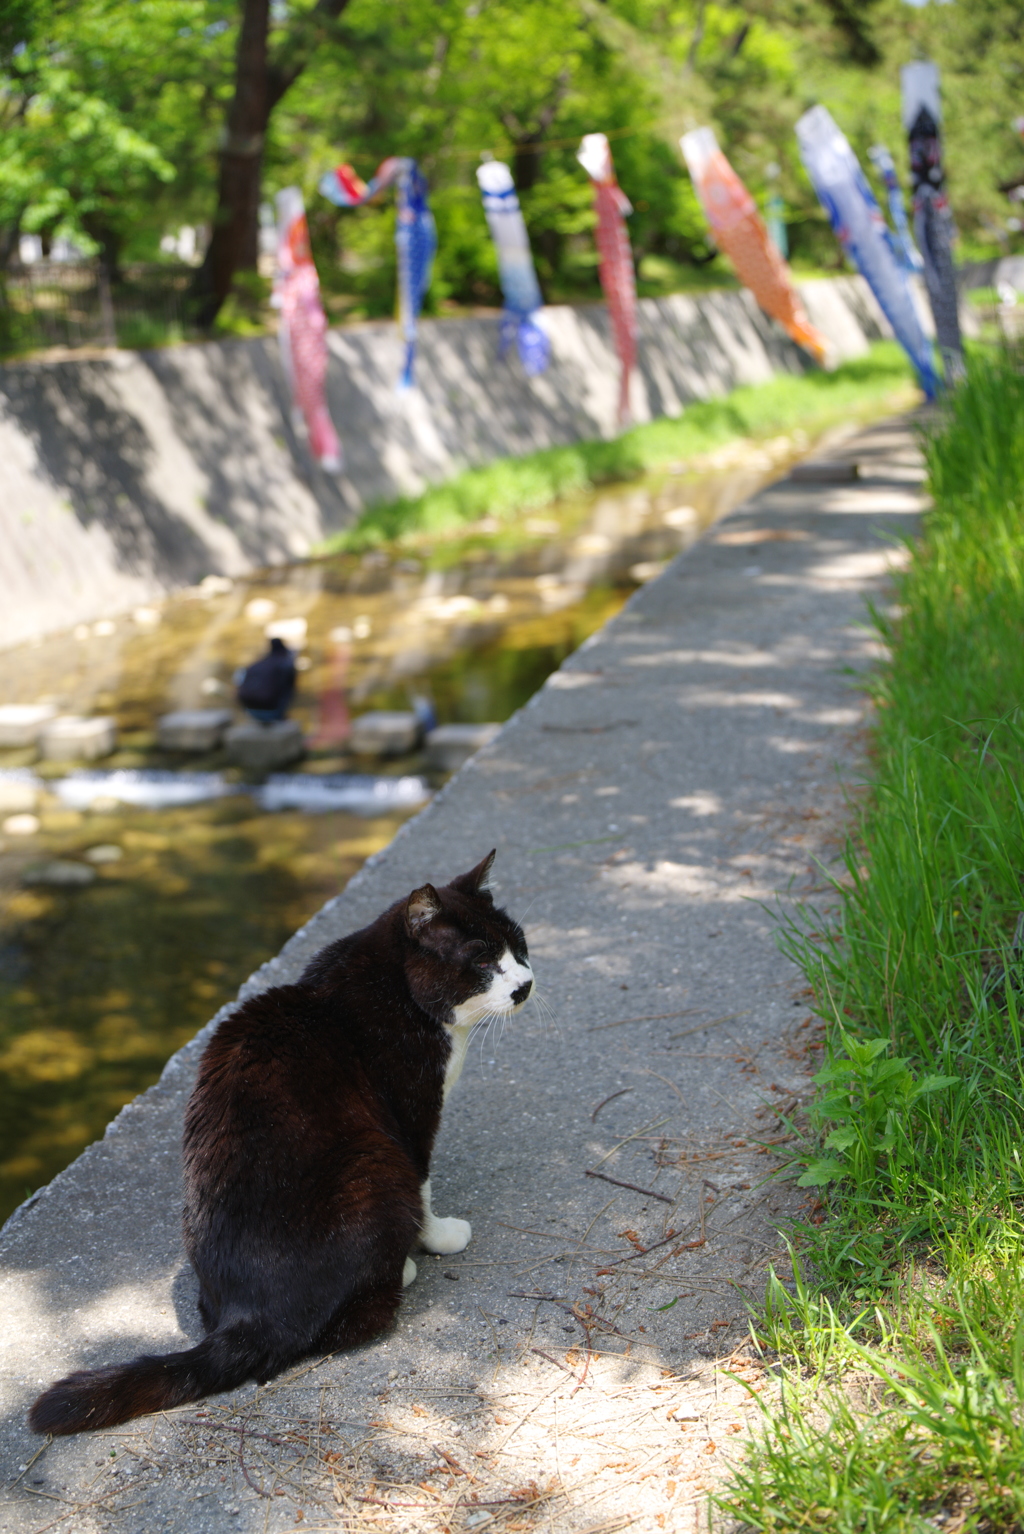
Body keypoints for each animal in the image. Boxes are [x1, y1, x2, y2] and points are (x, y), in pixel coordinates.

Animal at [27, 852, 533, 1435]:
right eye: (482, 962)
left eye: (519, 945)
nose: (525, 985)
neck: (396, 990)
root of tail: (248, 1316)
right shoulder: (411, 1115)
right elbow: (425, 1186)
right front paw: (439, 1237)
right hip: (375, 1163)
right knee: (349, 1323)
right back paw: (397, 1271)